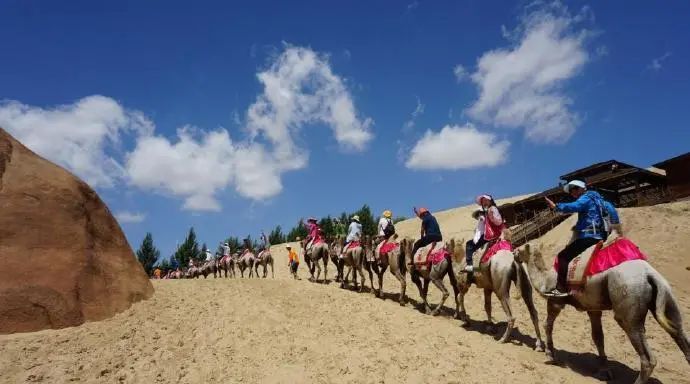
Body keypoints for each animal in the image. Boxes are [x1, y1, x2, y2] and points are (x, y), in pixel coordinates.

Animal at [516, 243, 688, 384]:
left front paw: (550, 355)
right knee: (680, 335)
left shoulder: (555, 302)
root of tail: (649, 275)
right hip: (667, 298)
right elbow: (598, 337)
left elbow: (548, 325)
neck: (545, 280)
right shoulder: (593, 308)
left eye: (520, 249)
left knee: (648, 358)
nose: (514, 254)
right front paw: (603, 372)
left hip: (628, 307)